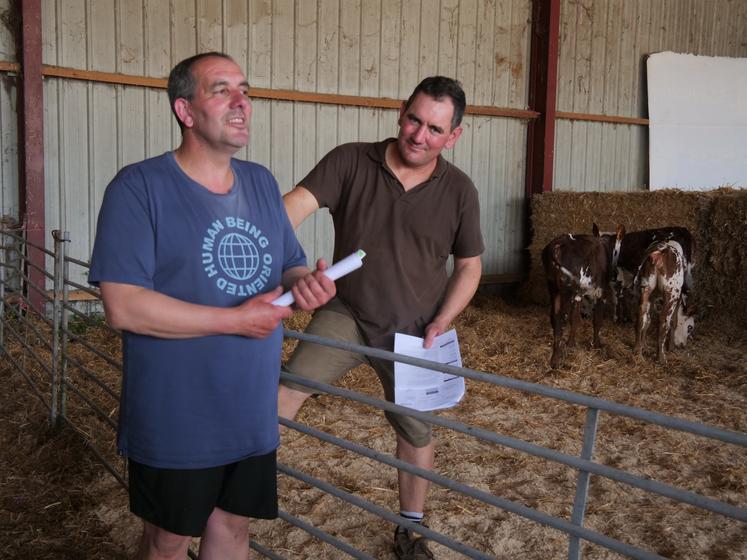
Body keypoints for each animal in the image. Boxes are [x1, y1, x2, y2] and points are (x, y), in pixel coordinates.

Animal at [544, 225, 612, 370]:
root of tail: (559, 244)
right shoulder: (601, 292)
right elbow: (597, 320)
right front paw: (597, 345)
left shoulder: (578, 294)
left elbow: (574, 318)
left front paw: (571, 344)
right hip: (565, 290)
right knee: (560, 319)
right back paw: (556, 360)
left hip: (554, 287)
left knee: (555, 319)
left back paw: (554, 358)